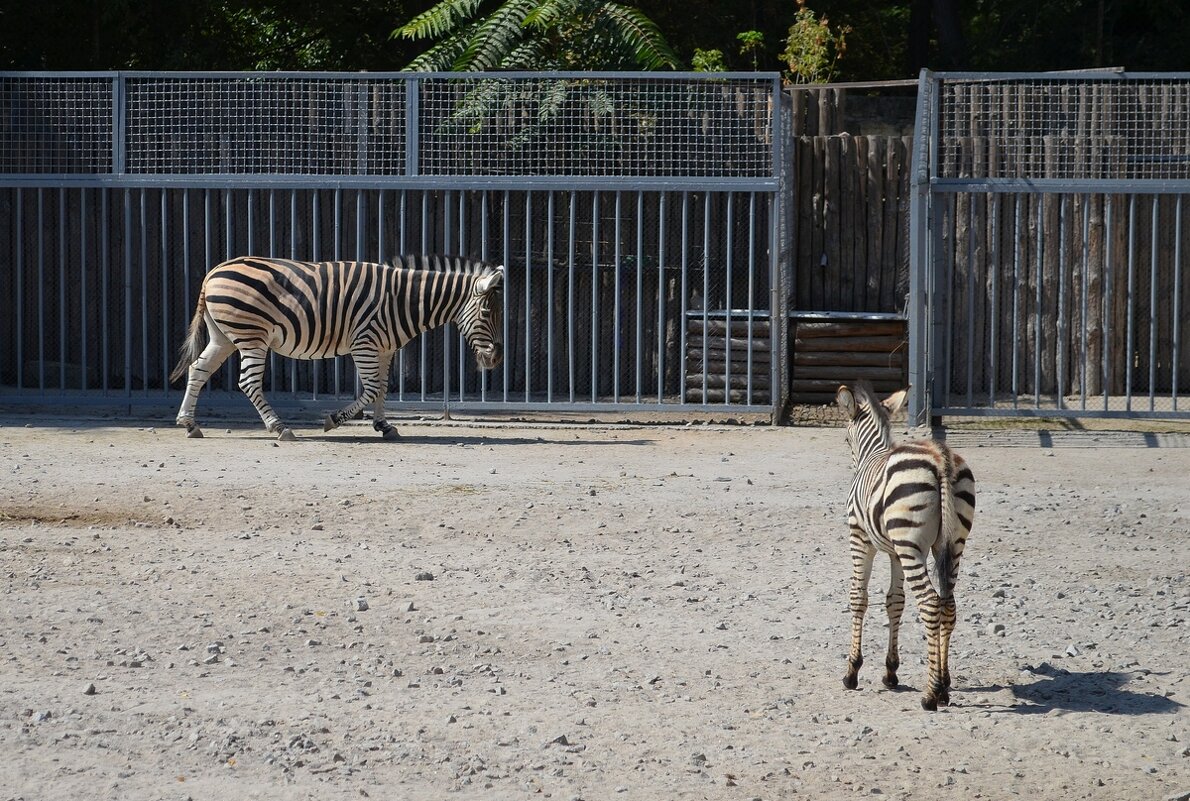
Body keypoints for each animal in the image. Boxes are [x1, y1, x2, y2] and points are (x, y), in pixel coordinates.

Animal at [168, 254, 502, 440]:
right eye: (487, 313)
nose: (496, 359)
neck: (401, 302)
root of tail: (213, 273)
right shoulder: (364, 344)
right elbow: (370, 390)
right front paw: (334, 420)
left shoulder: (385, 349)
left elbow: (382, 388)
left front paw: (384, 426)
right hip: (252, 336)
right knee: (248, 382)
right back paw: (279, 428)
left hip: (223, 336)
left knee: (198, 370)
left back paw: (189, 423)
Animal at [837, 383, 975, 709]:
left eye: (846, 438)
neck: (872, 453)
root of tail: (941, 458)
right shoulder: (895, 552)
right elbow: (895, 601)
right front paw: (890, 672)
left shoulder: (860, 537)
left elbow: (859, 598)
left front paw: (852, 671)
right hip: (951, 544)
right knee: (948, 604)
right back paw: (944, 686)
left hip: (911, 546)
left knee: (929, 602)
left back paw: (930, 694)